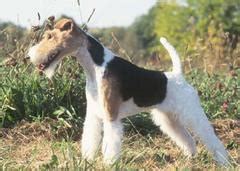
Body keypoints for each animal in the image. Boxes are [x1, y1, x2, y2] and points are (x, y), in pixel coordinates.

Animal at [27, 18, 229, 165]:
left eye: (50, 36)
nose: (28, 56)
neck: (95, 66)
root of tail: (177, 75)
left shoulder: (111, 116)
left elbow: (110, 143)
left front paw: (109, 164)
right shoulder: (93, 115)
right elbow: (90, 138)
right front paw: (87, 159)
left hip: (191, 112)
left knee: (210, 136)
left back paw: (224, 161)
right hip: (168, 117)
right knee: (187, 139)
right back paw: (189, 157)